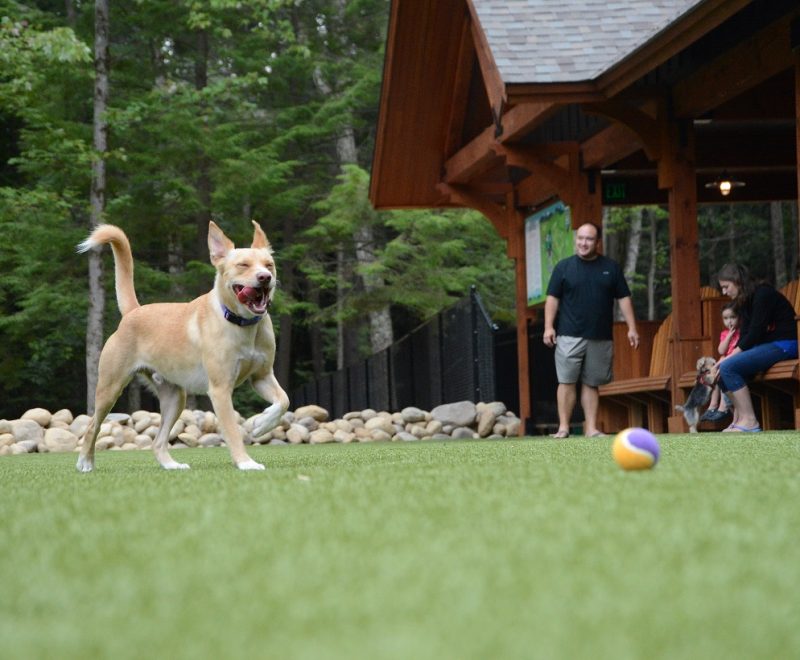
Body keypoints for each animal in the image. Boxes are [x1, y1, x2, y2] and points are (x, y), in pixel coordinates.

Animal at [75, 220, 288, 470]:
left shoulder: (262, 376)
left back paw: (171, 465)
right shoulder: (220, 390)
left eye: (269, 264)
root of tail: (133, 312)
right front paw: (246, 463)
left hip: (175, 398)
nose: (265, 277)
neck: (241, 324)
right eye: (243, 265)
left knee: (158, 442)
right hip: (110, 387)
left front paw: (263, 423)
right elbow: (233, 432)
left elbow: (284, 401)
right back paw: (85, 463)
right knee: (93, 426)